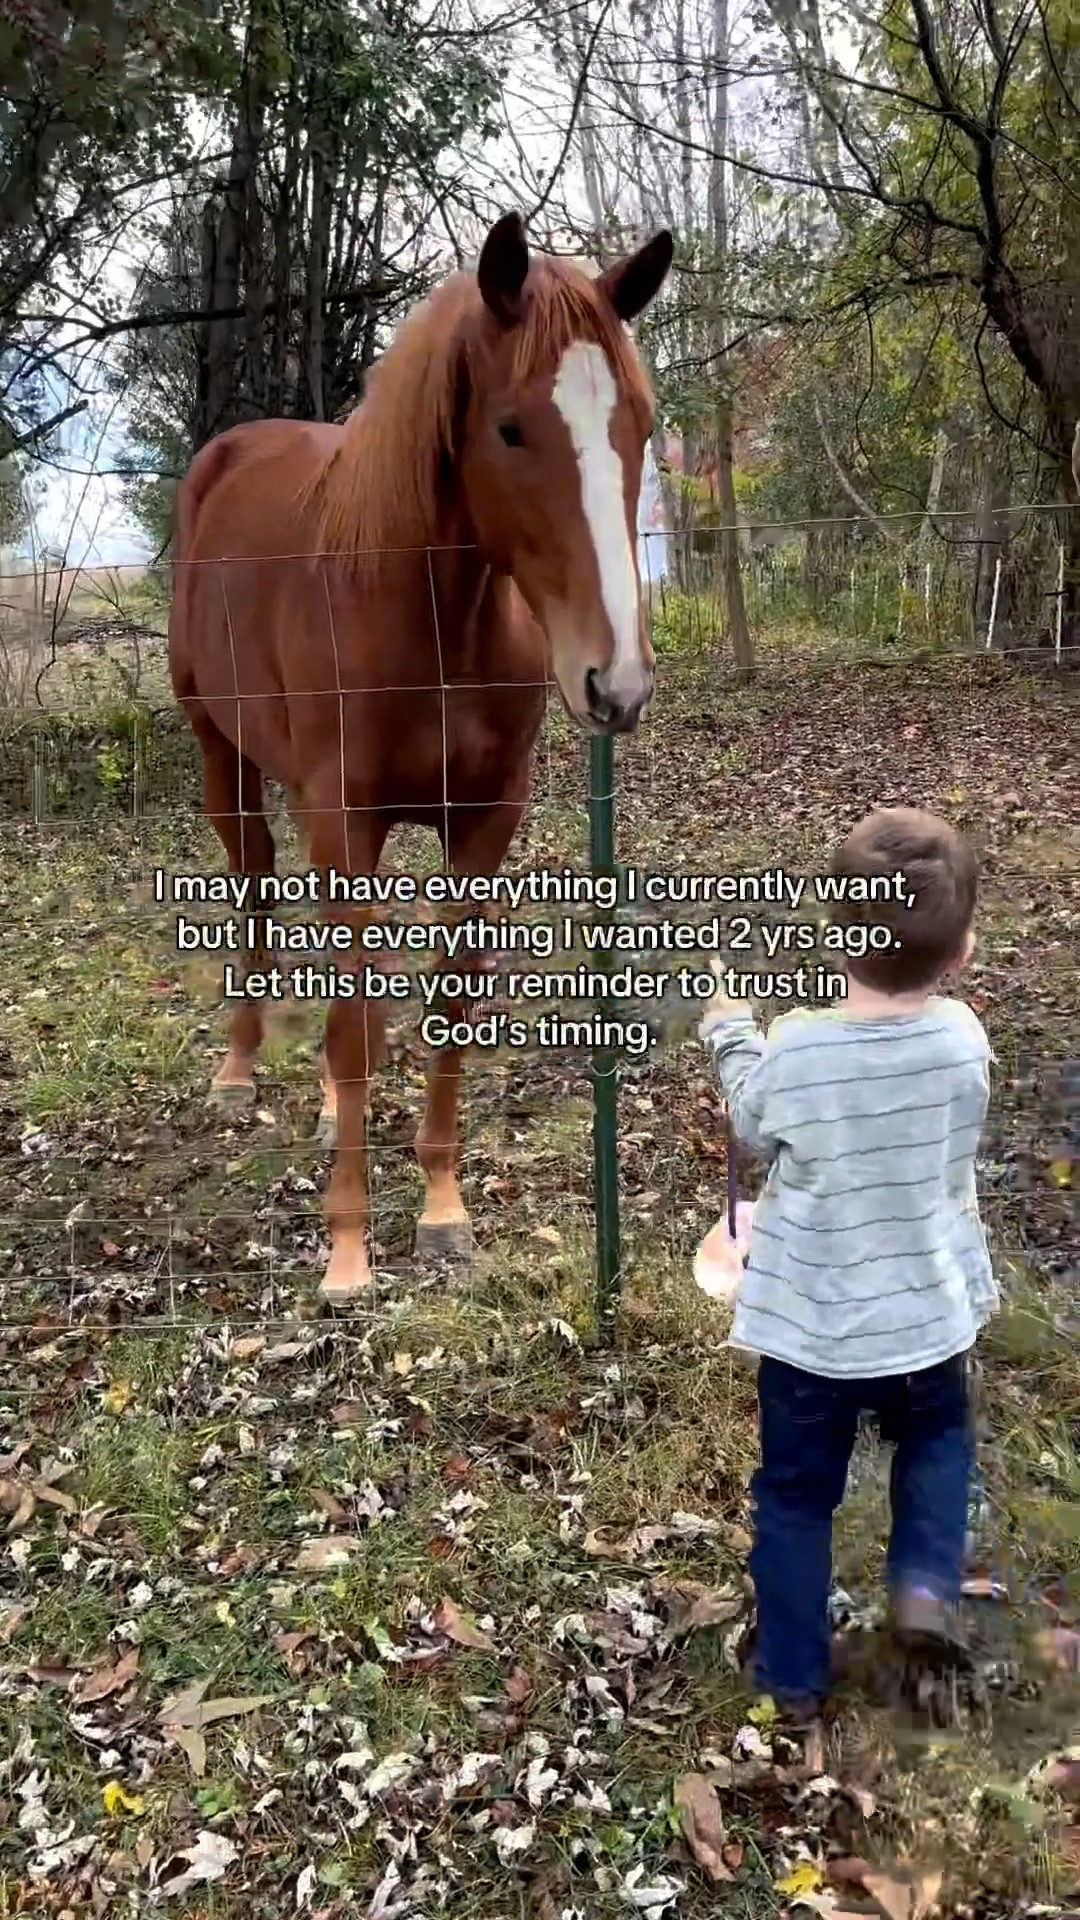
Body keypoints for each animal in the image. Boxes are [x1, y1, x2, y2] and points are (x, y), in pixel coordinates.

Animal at [168, 210, 674, 1301]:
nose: (615, 682)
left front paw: (443, 1211)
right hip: (219, 748)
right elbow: (357, 1025)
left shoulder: (483, 825)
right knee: (253, 880)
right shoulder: (342, 818)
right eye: (512, 428)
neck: (424, 612)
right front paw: (349, 1248)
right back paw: (237, 1070)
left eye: (642, 426)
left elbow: (444, 999)